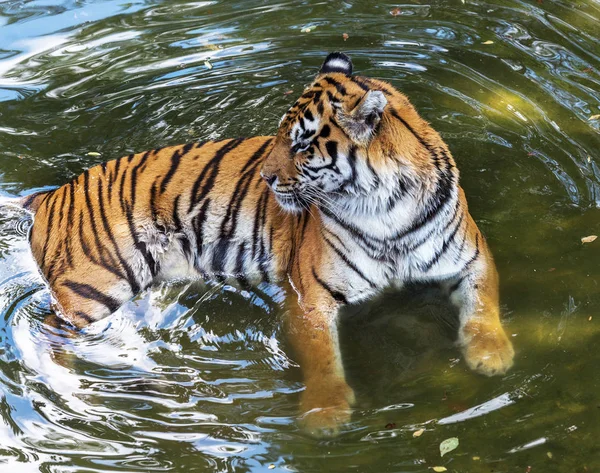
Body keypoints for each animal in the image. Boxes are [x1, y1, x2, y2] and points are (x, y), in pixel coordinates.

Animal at [15, 51, 510, 436]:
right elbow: (323, 358)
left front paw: (493, 357)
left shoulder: (471, 258)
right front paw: (326, 413)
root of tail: (47, 197)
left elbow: (484, 306)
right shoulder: (311, 295)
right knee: (47, 330)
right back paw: (71, 388)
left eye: (302, 146)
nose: (267, 179)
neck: (387, 208)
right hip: (94, 288)